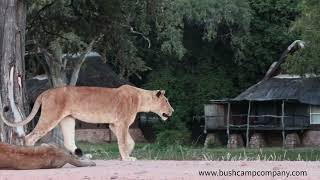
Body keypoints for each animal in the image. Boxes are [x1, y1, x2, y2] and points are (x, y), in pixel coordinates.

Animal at [1, 85, 174, 161]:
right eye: (166, 101)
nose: (172, 111)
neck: (141, 99)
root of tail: (46, 91)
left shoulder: (114, 124)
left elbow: (129, 142)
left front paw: (125, 156)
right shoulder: (122, 123)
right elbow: (124, 141)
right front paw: (127, 158)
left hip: (68, 120)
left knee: (69, 141)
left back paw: (81, 156)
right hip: (50, 117)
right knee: (29, 137)